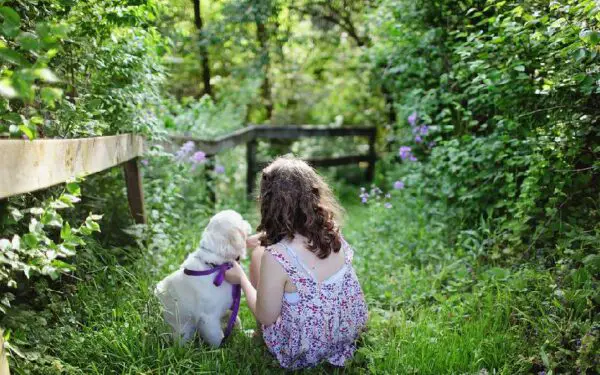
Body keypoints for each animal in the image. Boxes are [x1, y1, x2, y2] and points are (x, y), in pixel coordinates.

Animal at [155, 210, 251, 348]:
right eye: (241, 220)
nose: (248, 223)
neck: (216, 266)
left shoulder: (229, 307)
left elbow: (236, 320)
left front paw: (245, 334)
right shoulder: (209, 317)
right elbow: (217, 337)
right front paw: (219, 350)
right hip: (182, 328)